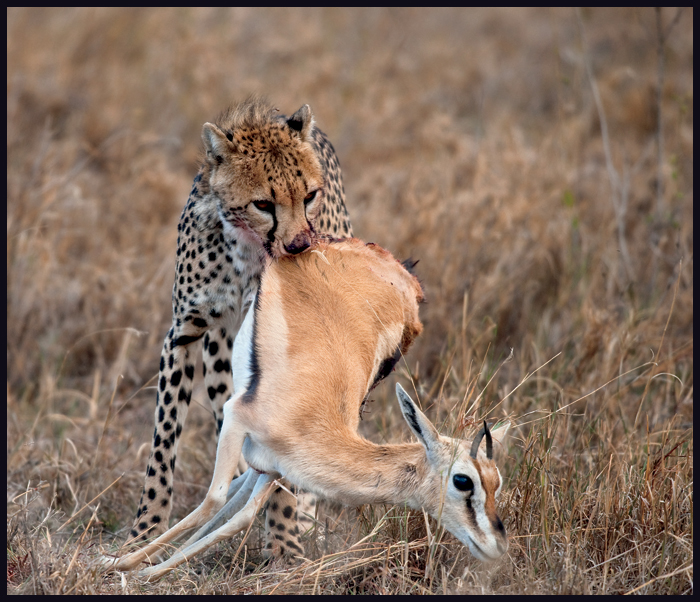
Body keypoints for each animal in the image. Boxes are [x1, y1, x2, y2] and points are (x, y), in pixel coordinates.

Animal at [129, 97, 352, 556]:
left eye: (309, 196)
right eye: (263, 203)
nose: (300, 245)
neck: (244, 248)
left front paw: (285, 542)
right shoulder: (183, 334)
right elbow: (163, 442)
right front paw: (144, 533)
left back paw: (303, 521)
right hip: (221, 354)